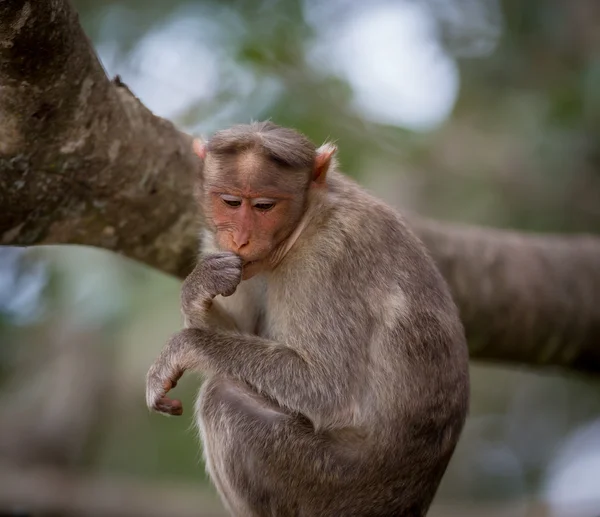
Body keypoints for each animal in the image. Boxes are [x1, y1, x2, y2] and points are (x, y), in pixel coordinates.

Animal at [144, 122, 468, 516]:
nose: (241, 238)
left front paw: (184, 345)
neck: (306, 222)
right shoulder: (217, 244)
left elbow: (327, 389)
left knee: (222, 398)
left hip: (334, 485)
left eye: (264, 206)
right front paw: (198, 288)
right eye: (231, 202)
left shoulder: (330, 259)